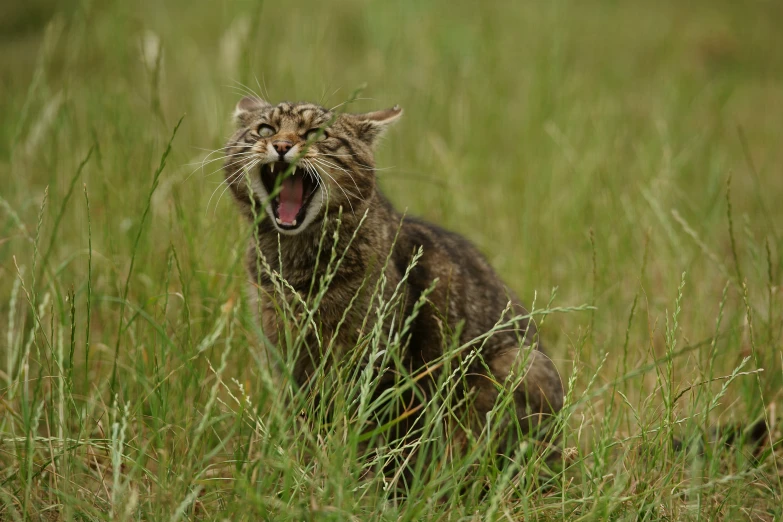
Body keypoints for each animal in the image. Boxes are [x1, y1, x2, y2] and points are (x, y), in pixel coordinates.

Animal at [224, 95, 568, 462]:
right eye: (265, 129)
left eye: (317, 134)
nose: (281, 145)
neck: (293, 264)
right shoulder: (289, 360)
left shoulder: (375, 360)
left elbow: (367, 431)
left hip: (521, 364)